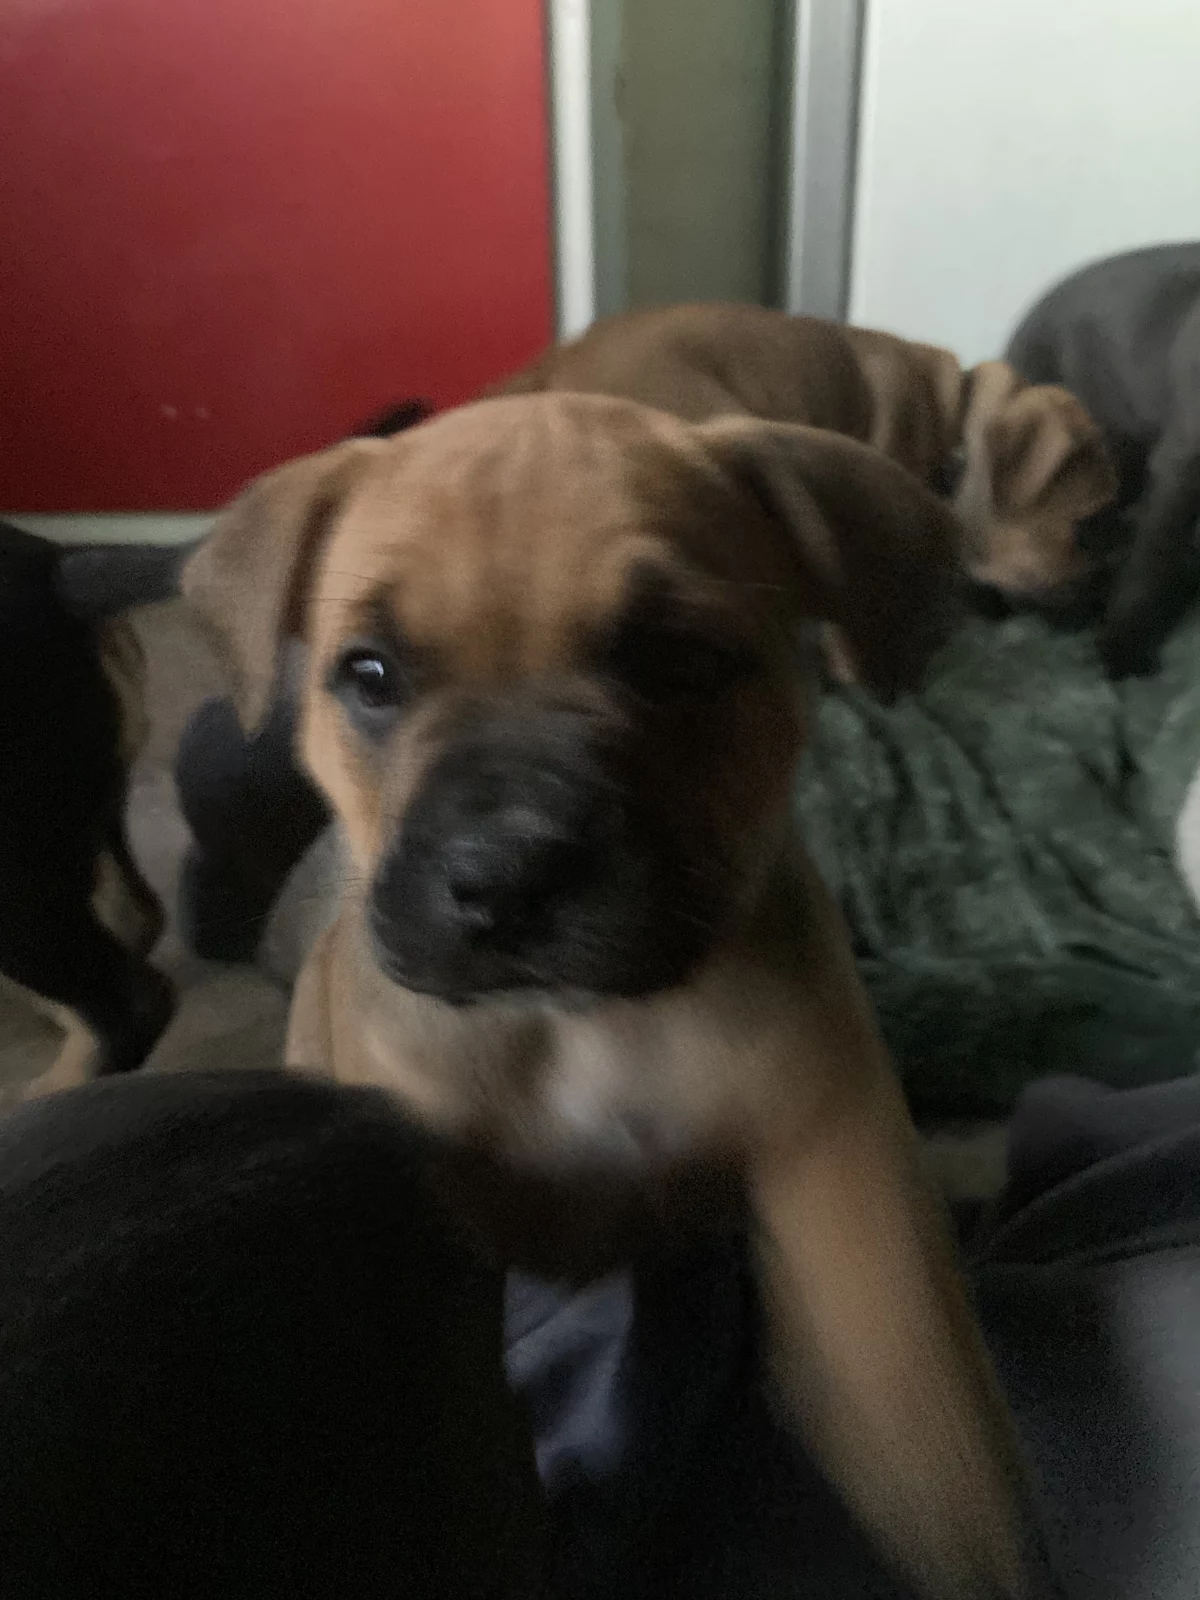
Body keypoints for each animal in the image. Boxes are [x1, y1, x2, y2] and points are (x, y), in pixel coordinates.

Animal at [182, 392, 1049, 1598]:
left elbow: (943, 1469)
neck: (578, 1026)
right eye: (370, 675)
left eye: (680, 660)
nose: (507, 872)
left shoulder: (847, 1196)